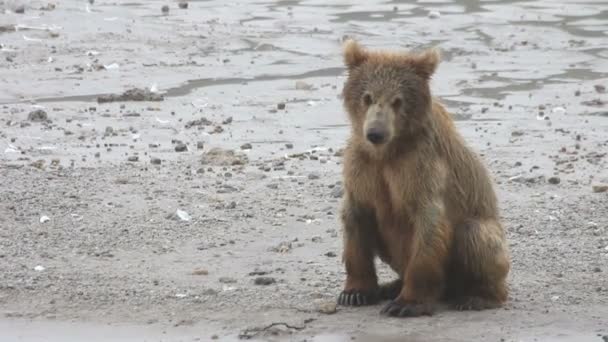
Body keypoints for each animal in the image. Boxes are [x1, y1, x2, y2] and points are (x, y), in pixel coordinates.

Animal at [334, 40, 510, 318]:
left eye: (397, 100)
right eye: (367, 96)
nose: (375, 132)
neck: (388, 152)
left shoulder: (421, 168)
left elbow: (428, 227)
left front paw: (406, 303)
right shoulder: (363, 169)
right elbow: (356, 221)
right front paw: (355, 292)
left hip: (485, 232)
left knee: (475, 236)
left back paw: (476, 297)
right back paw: (391, 285)